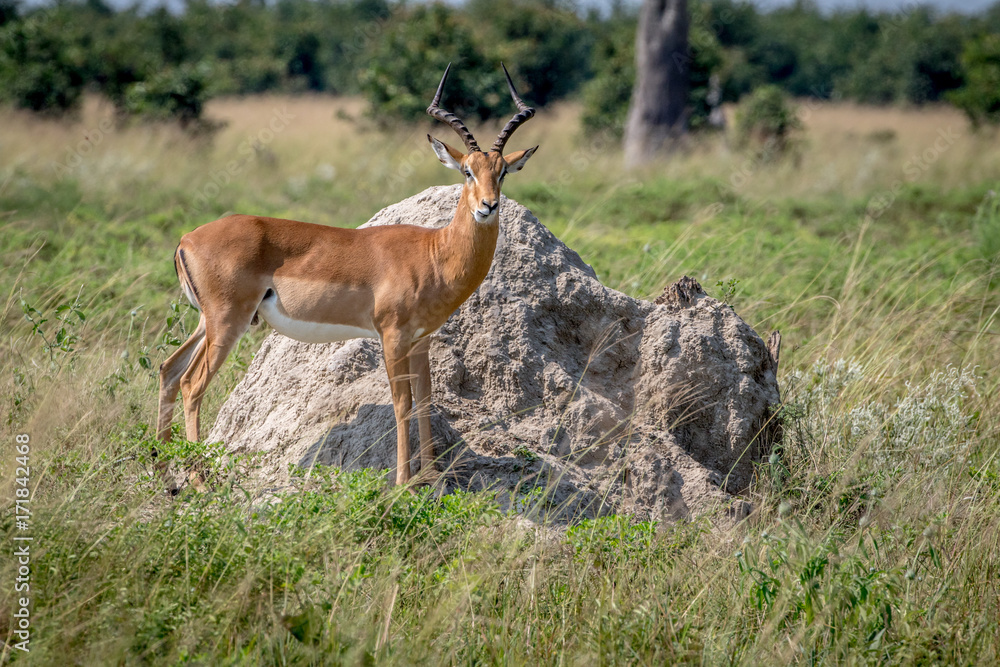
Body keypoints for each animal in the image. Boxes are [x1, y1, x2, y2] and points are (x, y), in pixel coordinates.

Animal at [155, 64, 537, 493]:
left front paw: (432, 479)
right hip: (227, 321)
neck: (433, 253)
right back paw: (199, 483)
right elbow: (402, 403)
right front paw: (403, 484)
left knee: (169, 370)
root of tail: (187, 239)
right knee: (192, 384)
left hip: (208, 322)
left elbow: (426, 400)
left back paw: (165, 477)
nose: (489, 206)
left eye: (502, 172)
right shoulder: (392, 337)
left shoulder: (421, 340)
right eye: (467, 171)